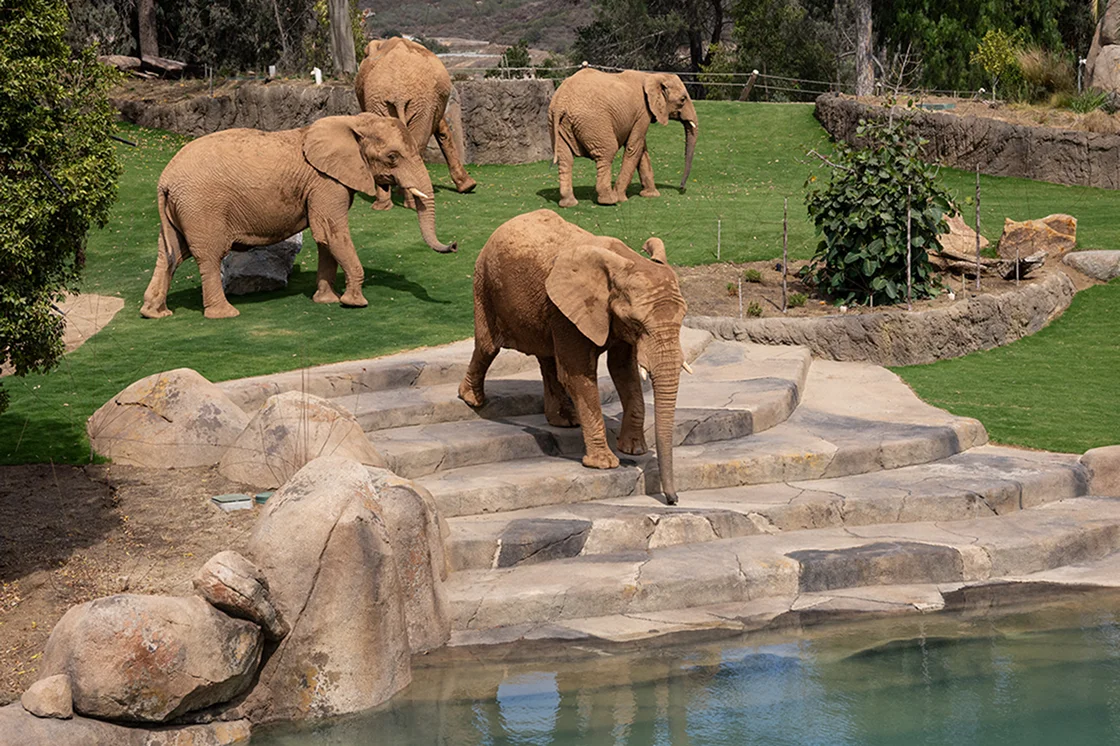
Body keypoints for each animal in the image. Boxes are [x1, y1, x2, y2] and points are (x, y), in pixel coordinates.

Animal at [140, 113, 456, 320]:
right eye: (392, 157)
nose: (453, 245)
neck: (352, 120)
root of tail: (164, 181)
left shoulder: (326, 184)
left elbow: (326, 239)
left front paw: (326, 301)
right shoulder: (326, 183)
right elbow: (332, 232)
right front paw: (355, 304)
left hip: (182, 208)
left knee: (169, 254)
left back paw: (156, 314)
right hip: (202, 207)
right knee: (208, 255)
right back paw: (226, 314)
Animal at [355, 37, 477, 211]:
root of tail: (398, 92)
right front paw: (469, 187)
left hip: (387, 101)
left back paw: (383, 206)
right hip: (419, 103)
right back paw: (411, 203)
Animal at [458, 209, 689, 505]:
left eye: (683, 317)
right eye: (638, 323)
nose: (673, 499)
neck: (625, 262)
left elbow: (623, 370)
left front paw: (634, 450)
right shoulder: (566, 310)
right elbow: (578, 374)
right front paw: (604, 464)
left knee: (547, 357)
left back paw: (565, 421)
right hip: (485, 281)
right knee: (488, 346)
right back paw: (470, 399)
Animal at [548, 68, 698, 208]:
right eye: (683, 99)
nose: (681, 187)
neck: (652, 76)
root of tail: (561, 102)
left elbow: (642, 150)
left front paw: (651, 195)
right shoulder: (643, 112)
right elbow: (634, 147)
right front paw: (621, 198)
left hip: (558, 124)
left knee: (565, 159)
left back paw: (568, 203)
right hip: (593, 122)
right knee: (607, 152)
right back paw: (609, 200)